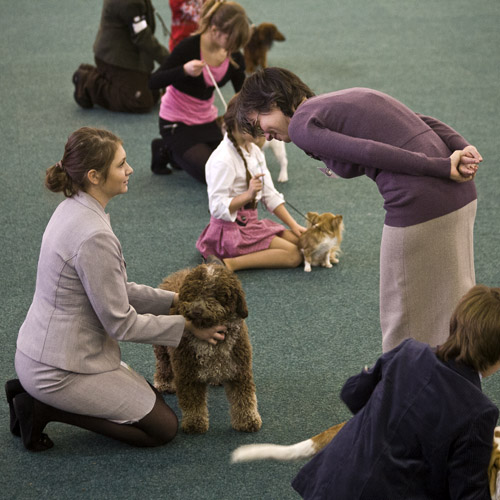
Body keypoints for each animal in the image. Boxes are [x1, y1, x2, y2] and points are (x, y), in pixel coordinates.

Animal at [152, 266, 262, 434]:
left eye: (217, 294)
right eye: (193, 292)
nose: (197, 310)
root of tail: (179, 272)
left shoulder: (239, 370)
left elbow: (243, 398)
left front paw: (247, 420)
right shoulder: (188, 374)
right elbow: (193, 403)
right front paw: (194, 423)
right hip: (162, 347)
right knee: (163, 364)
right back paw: (164, 382)